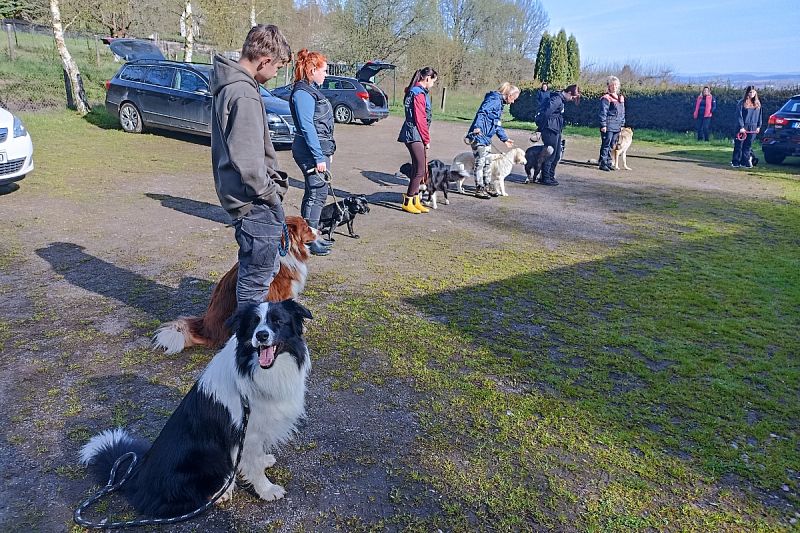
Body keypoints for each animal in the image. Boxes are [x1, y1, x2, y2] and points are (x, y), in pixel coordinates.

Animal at [79, 302, 312, 516]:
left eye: (278, 321)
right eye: (253, 323)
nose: (262, 336)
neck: (256, 369)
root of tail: (137, 477)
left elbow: (255, 458)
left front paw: (264, 461)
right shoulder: (247, 433)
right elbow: (253, 466)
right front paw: (267, 490)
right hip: (200, 461)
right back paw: (221, 492)